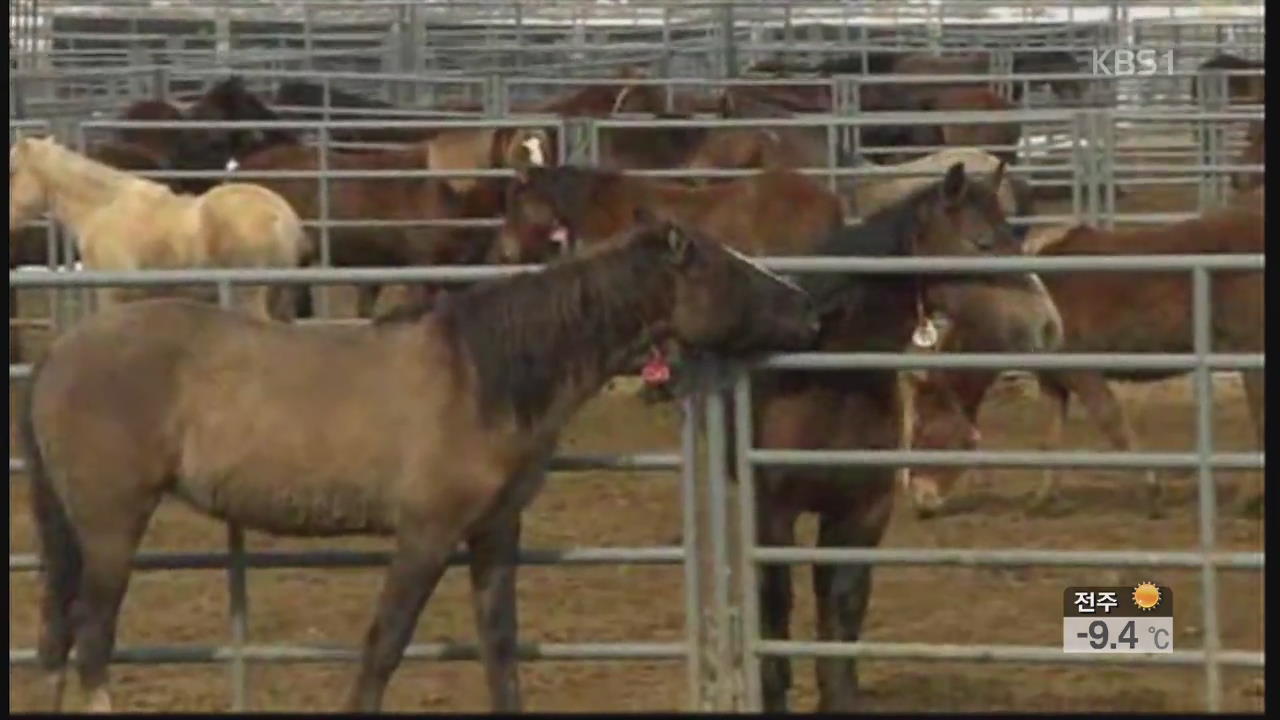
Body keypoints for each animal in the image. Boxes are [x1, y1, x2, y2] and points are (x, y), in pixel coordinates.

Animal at [17, 220, 819, 712]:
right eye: (724, 265)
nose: (810, 313)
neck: (481, 376)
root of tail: (59, 352)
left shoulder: (495, 534)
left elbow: (500, 648)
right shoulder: (427, 535)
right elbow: (385, 645)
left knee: (61, 638)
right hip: (112, 528)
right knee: (91, 640)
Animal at [906, 202, 1264, 515]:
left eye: (924, 431)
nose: (921, 501)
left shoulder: (1083, 373)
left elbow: (1112, 422)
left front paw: (1151, 491)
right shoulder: (1054, 382)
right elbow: (1051, 440)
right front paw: (1042, 499)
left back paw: (1247, 499)